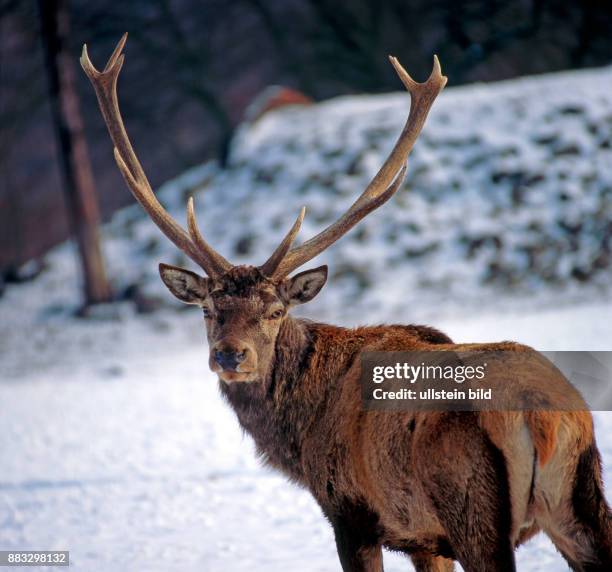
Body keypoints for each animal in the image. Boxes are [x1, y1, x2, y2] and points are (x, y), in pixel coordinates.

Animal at [82, 34, 612, 572]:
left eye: (275, 312)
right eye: (208, 310)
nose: (230, 355)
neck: (298, 438)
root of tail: (542, 415)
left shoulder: (350, 513)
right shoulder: (425, 538)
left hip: (473, 506)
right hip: (581, 502)